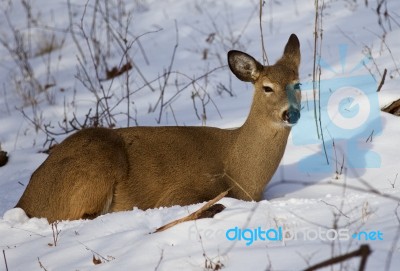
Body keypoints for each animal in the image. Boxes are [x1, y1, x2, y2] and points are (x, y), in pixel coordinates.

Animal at [15, 34, 302, 224]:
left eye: (298, 84)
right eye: (267, 87)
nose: (291, 113)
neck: (239, 172)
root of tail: (25, 200)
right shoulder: (180, 192)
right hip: (95, 166)